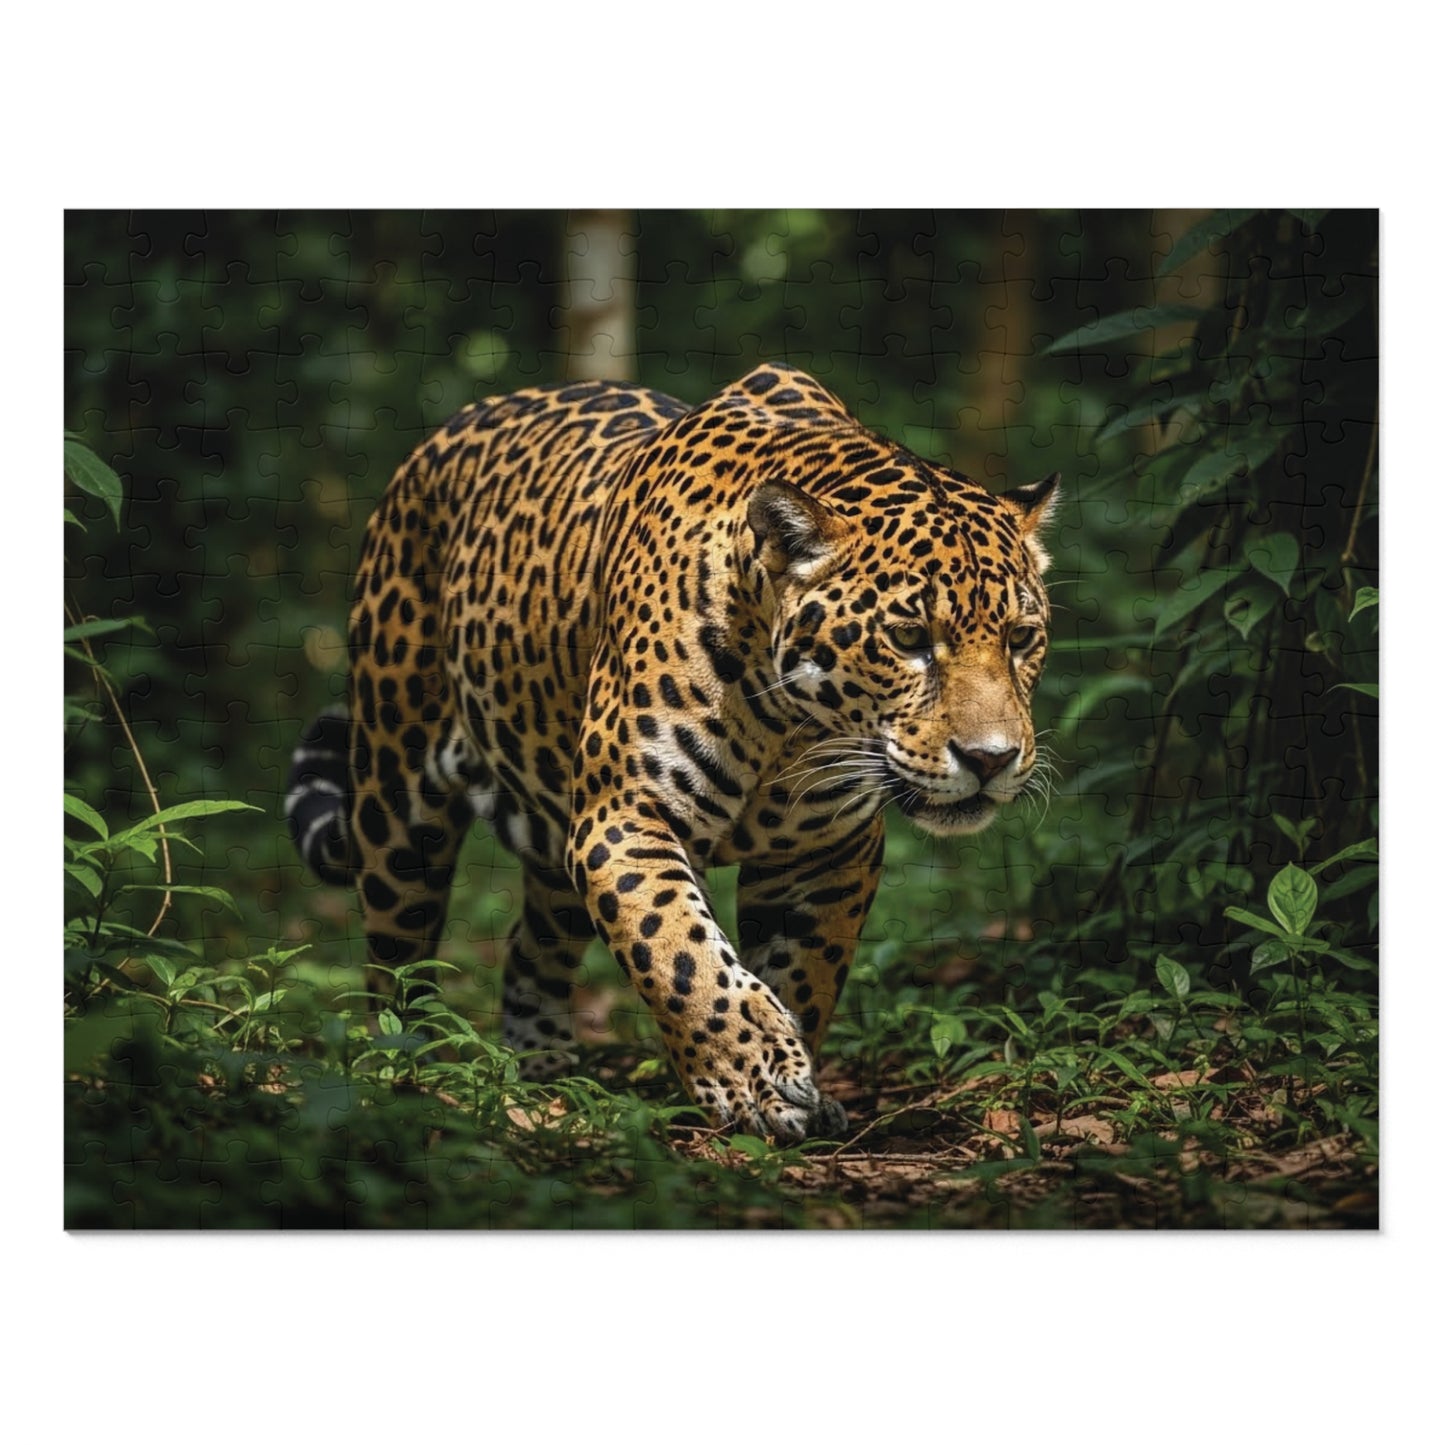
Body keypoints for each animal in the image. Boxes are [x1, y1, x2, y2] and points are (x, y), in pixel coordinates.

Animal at [287, 363, 1058, 1142]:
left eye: (1022, 638)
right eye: (907, 639)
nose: (990, 759)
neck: (790, 723)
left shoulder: (828, 851)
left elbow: (804, 971)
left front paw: (798, 1083)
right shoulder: (624, 815)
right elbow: (679, 948)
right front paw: (753, 1080)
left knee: (531, 946)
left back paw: (543, 1071)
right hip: (397, 806)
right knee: (395, 965)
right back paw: (407, 1069)